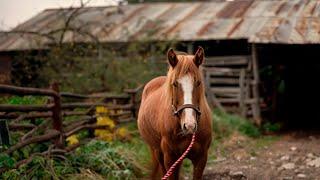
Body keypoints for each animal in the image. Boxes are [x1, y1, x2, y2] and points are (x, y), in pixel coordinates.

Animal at [138, 47, 212, 179]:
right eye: (174, 84)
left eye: (198, 82)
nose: (189, 125)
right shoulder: (170, 158)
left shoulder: (201, 158)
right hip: (158, 153)